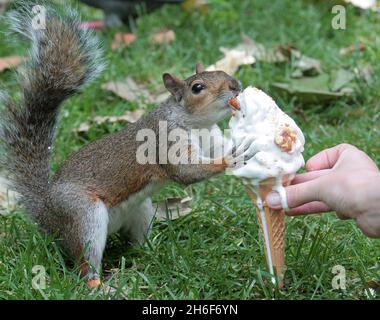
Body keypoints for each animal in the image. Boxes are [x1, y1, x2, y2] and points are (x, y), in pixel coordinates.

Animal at [0, 2, 255, 288]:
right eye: (197, 88)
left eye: (222, 72)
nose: (235, 85)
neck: (195, 123)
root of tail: (47, 215)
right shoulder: (165, 139)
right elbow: (186, 171)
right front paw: (230, 160)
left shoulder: (210, 137)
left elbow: (218, 150)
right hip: (83, 215)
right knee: (84, 264)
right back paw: (102, 286)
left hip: (140, 210)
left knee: (133, 243)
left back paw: (148, 255)